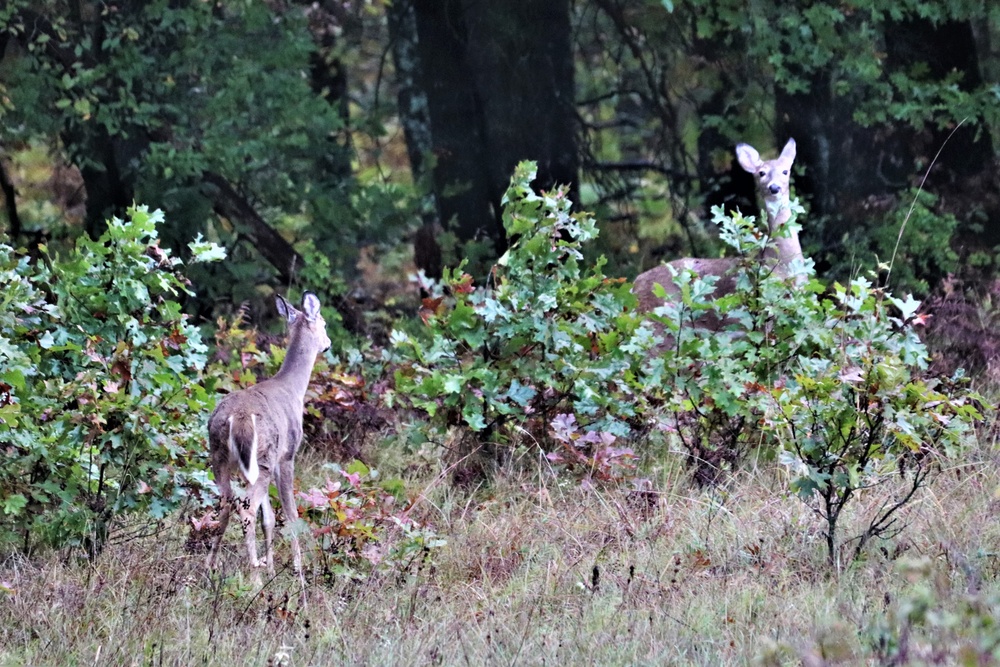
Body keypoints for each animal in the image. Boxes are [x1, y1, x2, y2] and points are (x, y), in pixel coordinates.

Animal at [207, 290, 332, 592]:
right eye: (324, 324)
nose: (328, 344)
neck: (293, 389)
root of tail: (237, 418)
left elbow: (270, 518)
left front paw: (272, 566)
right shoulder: (286, 457)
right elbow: (290, 515)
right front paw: (298, 571)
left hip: (219, 457)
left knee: (226, 503)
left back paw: (210, 567)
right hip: (262, 457)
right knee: (246, 509)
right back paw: (253, 577)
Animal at [636, 136, 800, 344]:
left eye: (785, 171)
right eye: (761, 173)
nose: (774, 187)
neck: (782, 261)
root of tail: (634, 286)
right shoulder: (764, 307)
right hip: (660, 318)